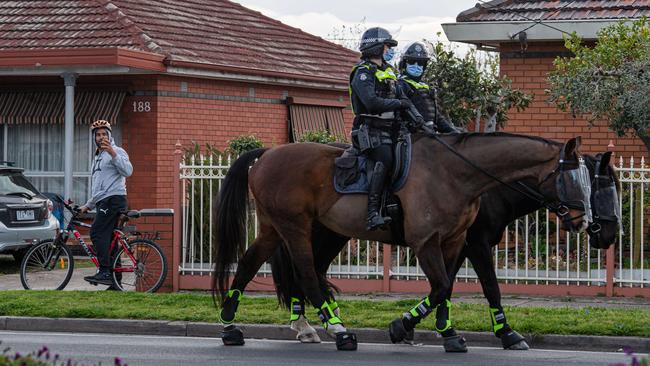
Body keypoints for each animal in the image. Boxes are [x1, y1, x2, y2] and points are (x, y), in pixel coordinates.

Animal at [211, 133, 588, 350]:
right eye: (571, 178)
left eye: (590, 179)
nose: (583, 221)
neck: (458, 174)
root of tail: (266, 155)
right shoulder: (435, 243)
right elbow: (454, 287)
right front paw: (401, 326)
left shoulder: (454, 242)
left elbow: (446, 287)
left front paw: (447, 332)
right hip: (295, 227)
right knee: (305, 273)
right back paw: (337, 329)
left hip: (284, 228)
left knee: (253, 263)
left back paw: (231, 326)